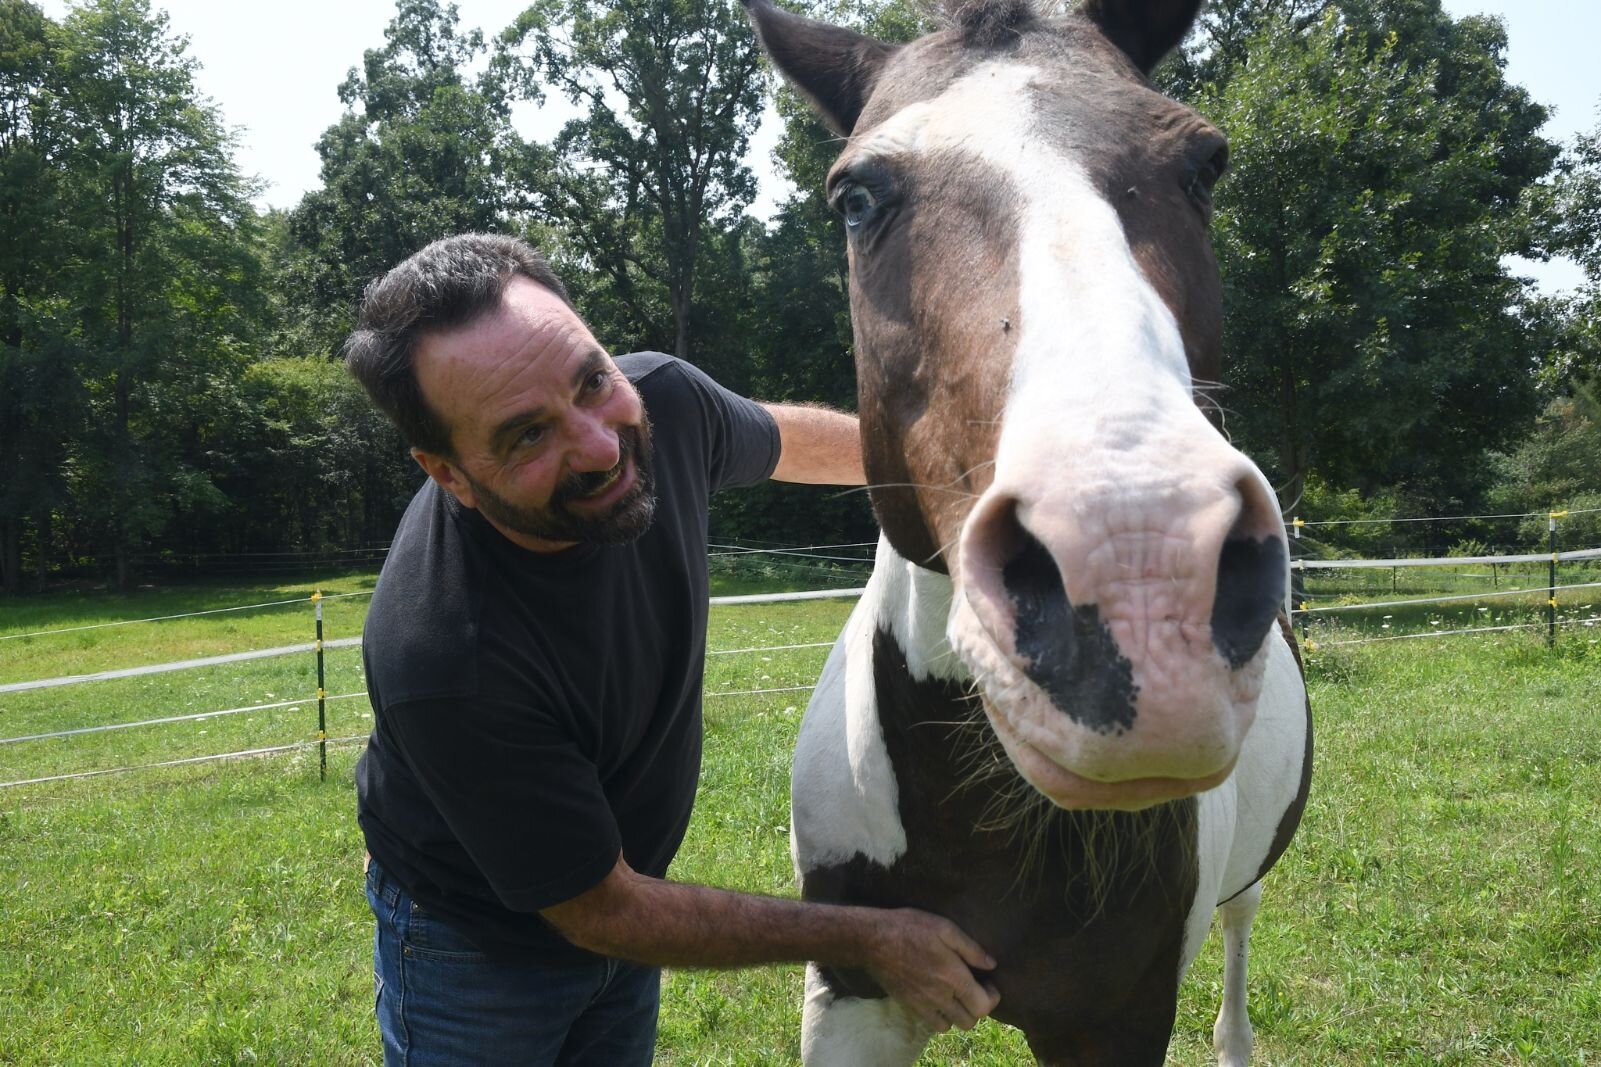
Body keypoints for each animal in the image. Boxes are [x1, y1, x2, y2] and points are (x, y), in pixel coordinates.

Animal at [742, 0, 1319, 1057]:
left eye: (1204, 165)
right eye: (855, 197)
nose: (1137, 573)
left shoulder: (1120, 1018)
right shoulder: (849, 997)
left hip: (1245, 886)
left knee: (1239, 932)